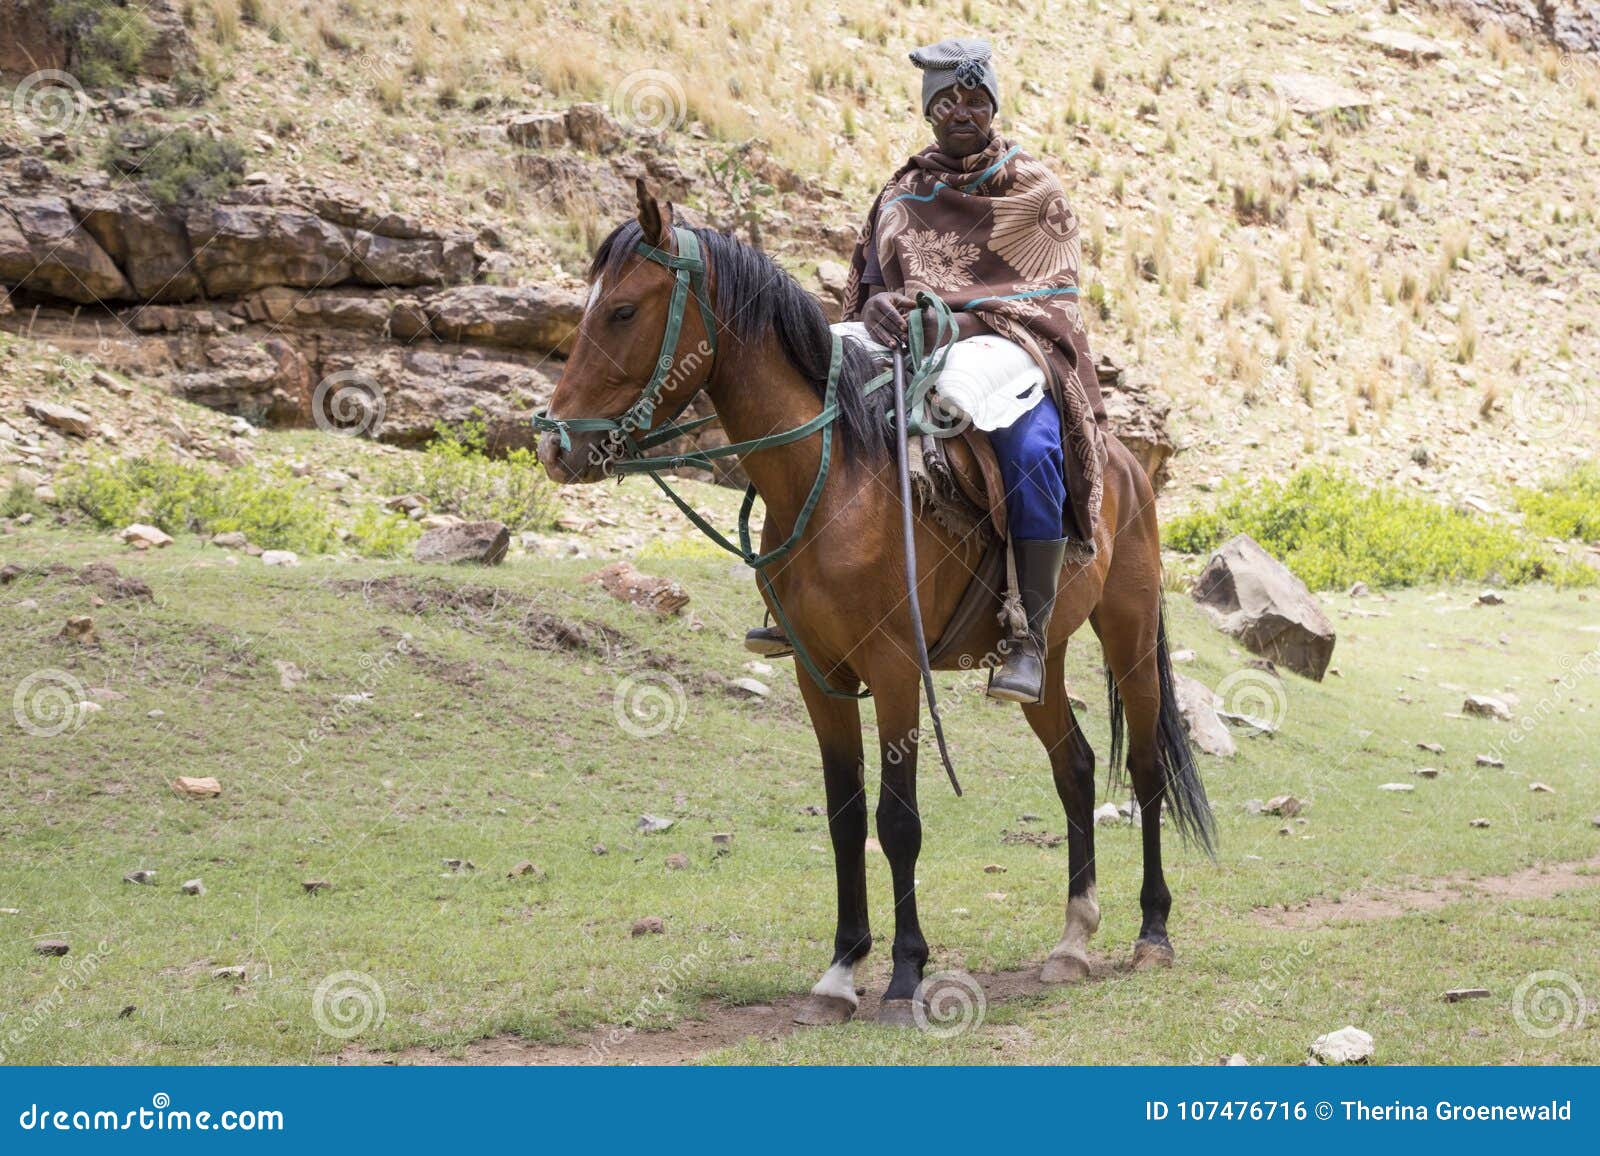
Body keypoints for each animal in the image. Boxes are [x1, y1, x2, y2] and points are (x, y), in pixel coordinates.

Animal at [537, 182, 1209, 1024]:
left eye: (623, 310)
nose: (554, 445)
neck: (836, 480)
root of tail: (1123, 465)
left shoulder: (893, 669)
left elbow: (897, 820)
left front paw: (904, 972)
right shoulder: (818, 675)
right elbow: (846, 817)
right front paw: (839, 971)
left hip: (1128, 633)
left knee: (1146, 769)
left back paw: (1153, 933)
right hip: (1042, 651)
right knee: (1077, 767)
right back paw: (1071, 941)